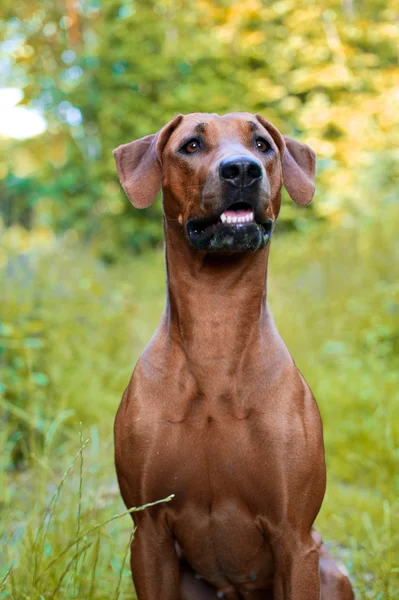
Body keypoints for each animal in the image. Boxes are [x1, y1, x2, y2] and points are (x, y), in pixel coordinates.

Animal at [114, 112, 354, 600]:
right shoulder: (147, 533)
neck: (216, 324)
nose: (242, 169)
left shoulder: (295, 537)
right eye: (190, 145)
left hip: (329, 571)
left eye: (262, 145)